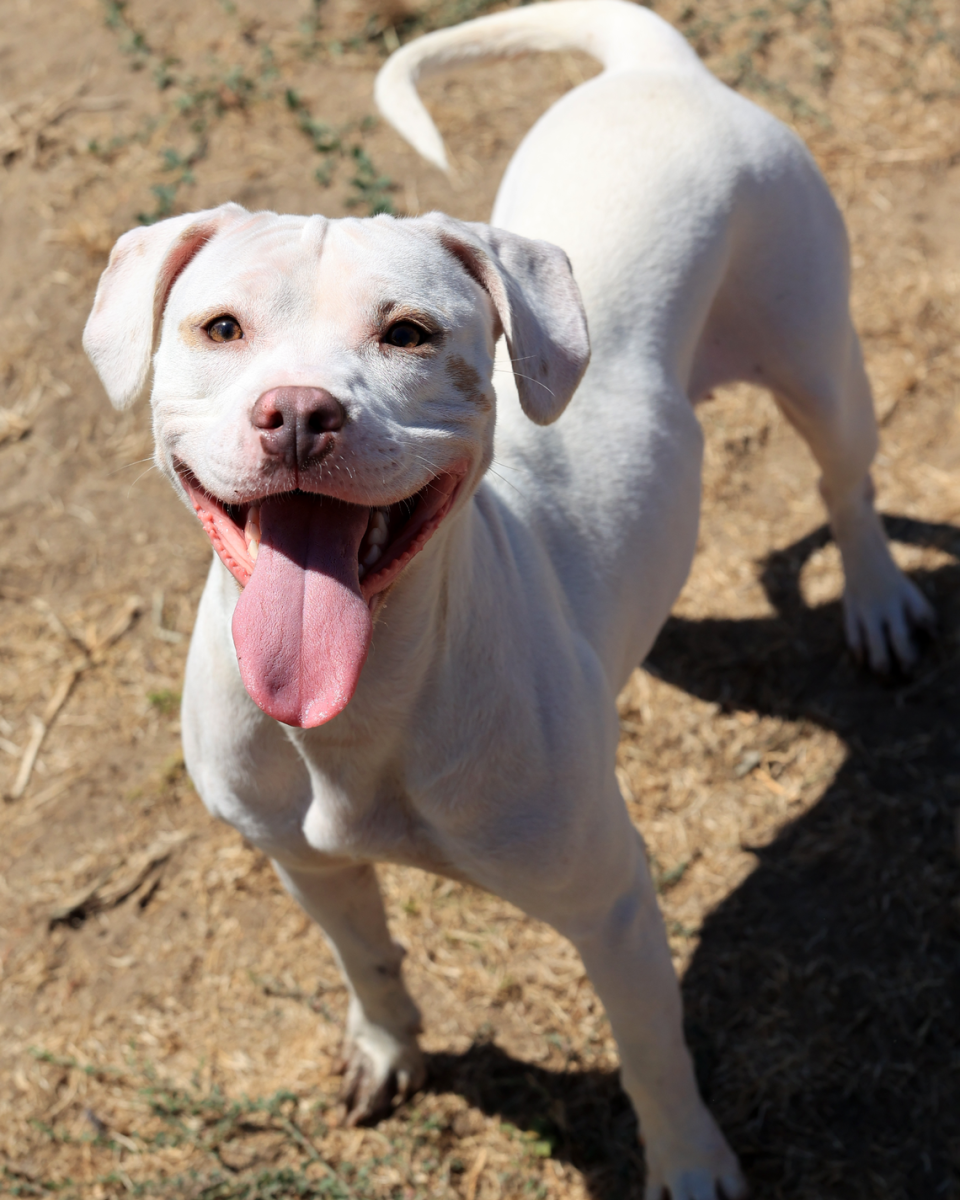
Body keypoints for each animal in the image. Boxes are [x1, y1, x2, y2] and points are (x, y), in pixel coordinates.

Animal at [84, 4, 936, 1195]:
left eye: (408, 333)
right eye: (220, 328)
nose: (297, 412)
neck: (368, 705)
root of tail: (660, 67)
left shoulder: (612, 905)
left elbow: (651, 1050)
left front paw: (688, 1164)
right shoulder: (305, 863)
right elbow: (368, 958)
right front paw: (389, 1047)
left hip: (818, 356)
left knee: (846, 483)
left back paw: (877, 600)